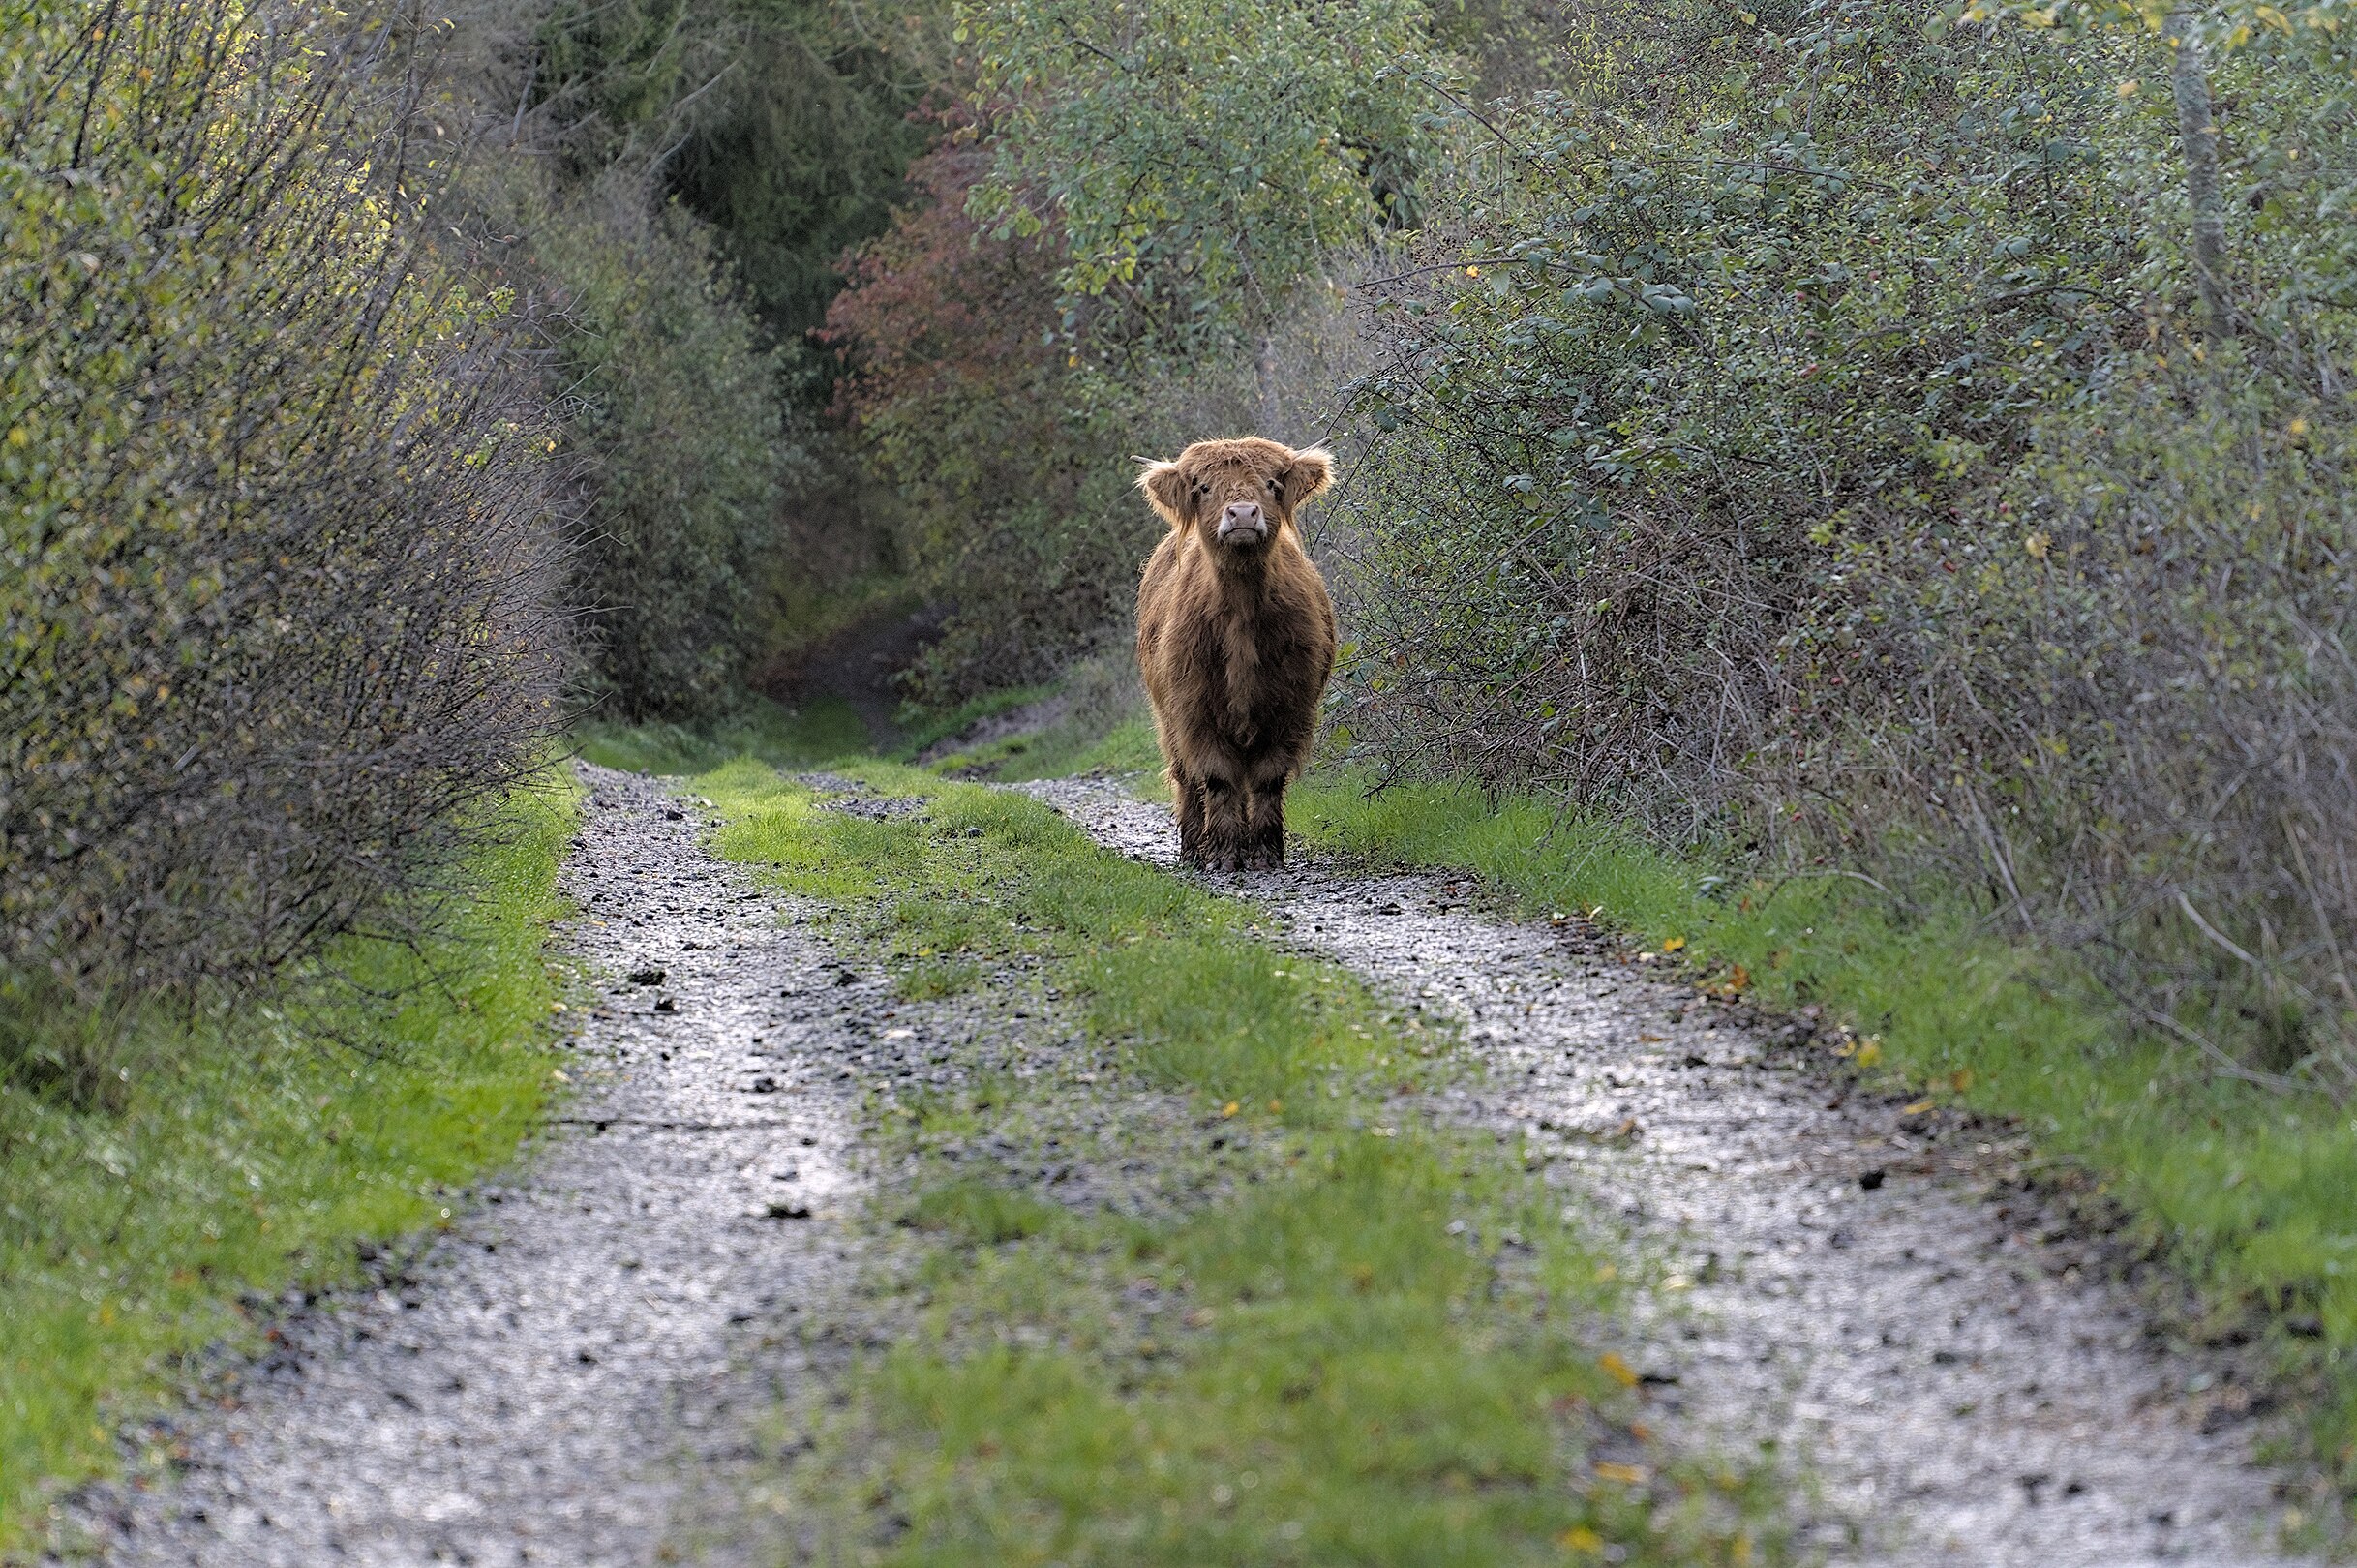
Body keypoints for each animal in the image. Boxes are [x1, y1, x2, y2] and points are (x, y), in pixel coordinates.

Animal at [1131, 434, 1339, 867]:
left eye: (1272, 484)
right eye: (1203, 487)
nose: (1242, 513)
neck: (1241, 613)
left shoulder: (1290, 707)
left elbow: (1267, 778)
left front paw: (1264, 852)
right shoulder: (1195, 708)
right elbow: (1217, 777)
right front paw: (1225, 853)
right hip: (1168, 718)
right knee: (1186, 777)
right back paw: (1194, 849)